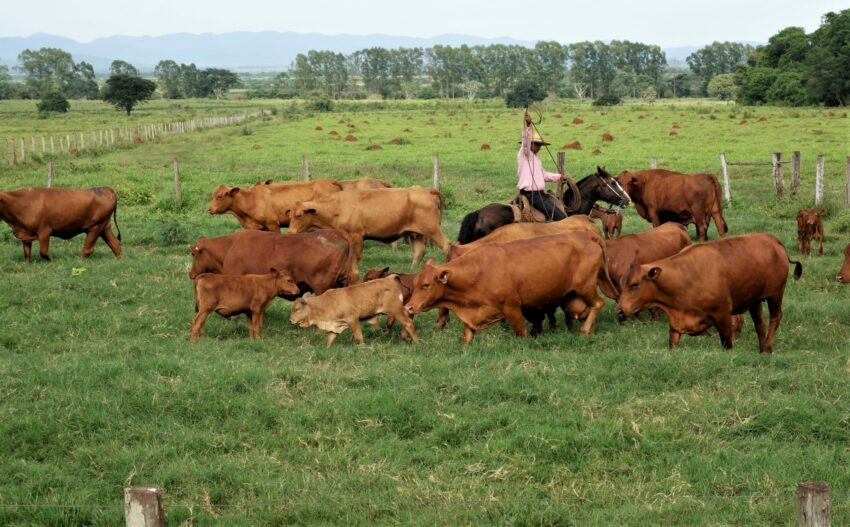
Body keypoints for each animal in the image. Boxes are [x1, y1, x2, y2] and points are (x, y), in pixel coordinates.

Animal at [288, 188, 450, 266]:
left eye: (299, 215)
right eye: (290, 216)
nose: (290, 232)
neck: (336, 206)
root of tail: (425, 190)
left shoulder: (357, 236)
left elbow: (357, 256)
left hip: (432, 229)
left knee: (447, 245)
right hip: (414, 233)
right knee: (419, 251)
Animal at [404, 233, 604, 344]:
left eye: (426, 284)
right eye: (415, 283)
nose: (408, 307)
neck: (478, 272)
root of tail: (586, 237)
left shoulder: (512, 307)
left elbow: (521, 332)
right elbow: (467, 336)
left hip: (585, 287)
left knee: (598, 304)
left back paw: (585, 330)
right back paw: (591, 330)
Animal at [612, 234, 800, 354]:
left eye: (635, 284)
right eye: (622, 284)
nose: (620, 310)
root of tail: (774, 240)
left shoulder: (723, 316)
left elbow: (727, 343)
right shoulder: (676, 324)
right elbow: (672, 343)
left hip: (775, 295)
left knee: (775, 317)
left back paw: (767, 347)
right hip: (754, 301)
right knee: (760, 324)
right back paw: (762, 349)